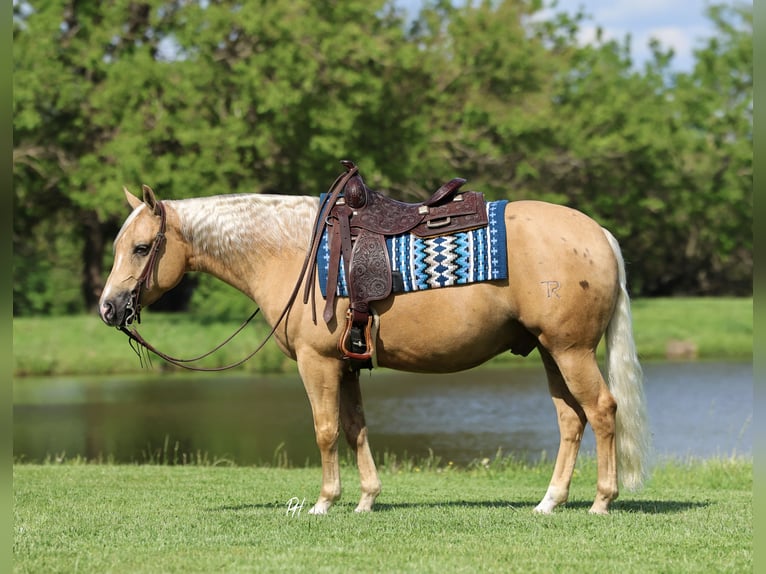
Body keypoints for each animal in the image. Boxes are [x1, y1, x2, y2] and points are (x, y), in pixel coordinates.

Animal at [98, 181, 650, 515]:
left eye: (142, 248)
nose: (108, 308)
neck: (293, 251)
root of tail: (598, 233)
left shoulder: (317, 363)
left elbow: (324, 431)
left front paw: (324, 501)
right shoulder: (346, 364)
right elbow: (354, 428)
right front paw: (366, 498)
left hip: (571, 350)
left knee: (602, 410)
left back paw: (602, 500)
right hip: (551, 351)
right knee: (571, 420)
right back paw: (550, 501)